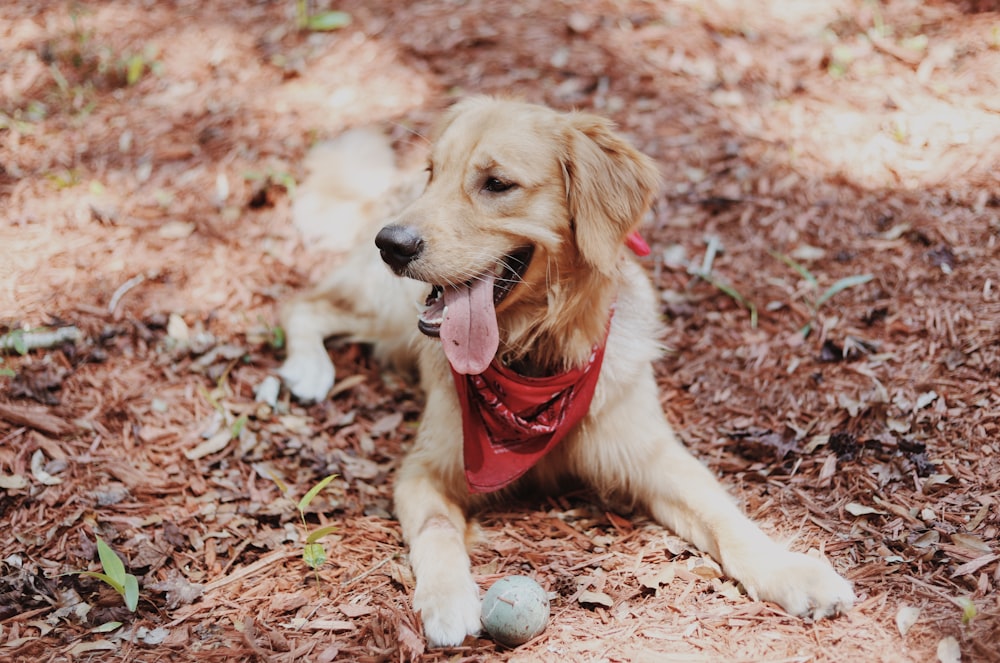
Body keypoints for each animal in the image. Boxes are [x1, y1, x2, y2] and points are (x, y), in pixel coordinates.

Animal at [278, 96, 856, 644]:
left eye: (496, 184)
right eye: (432, 173)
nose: (391, 244)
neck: (536, 360)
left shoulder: (650, 453)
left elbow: (723, 513)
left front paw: (790, 571)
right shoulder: (422, 469)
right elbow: (438, 526)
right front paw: (446, 599)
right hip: (389, 310)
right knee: (305, 303)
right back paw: (308, 370)